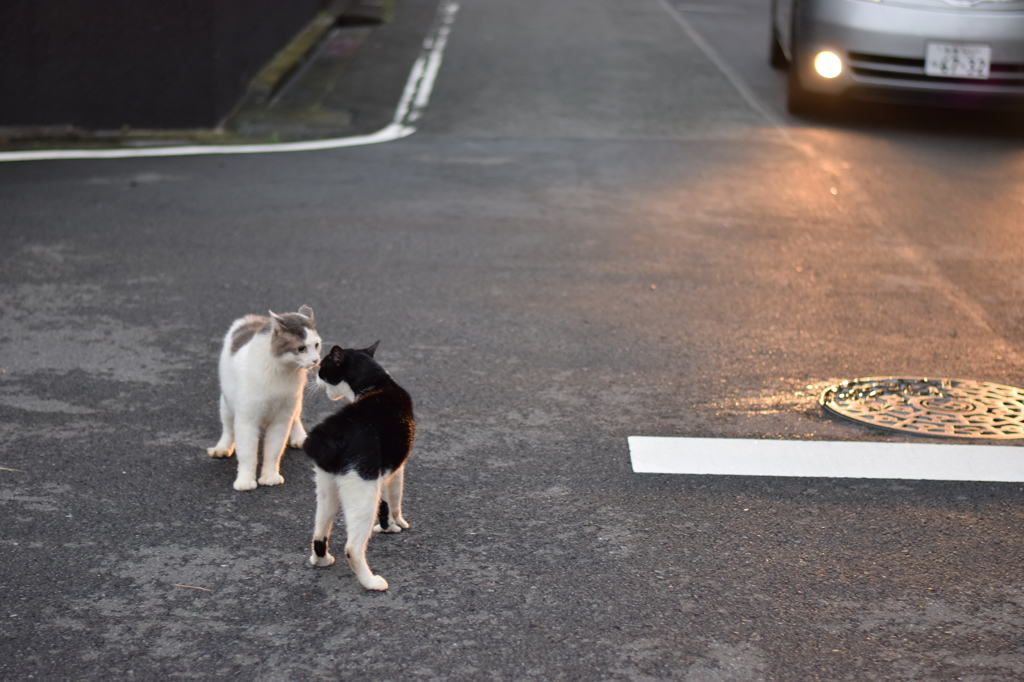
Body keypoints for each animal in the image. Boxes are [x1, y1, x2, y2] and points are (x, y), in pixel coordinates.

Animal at [206, 307, 319, 489]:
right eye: (301, 348)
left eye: (316, 345)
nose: (316, 360)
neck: (281, 371)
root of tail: (252, 318)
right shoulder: (247, 420)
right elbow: (247, 454)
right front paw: (245, 481)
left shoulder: (281, 419)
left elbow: (273, 451)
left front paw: (269, 476)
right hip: (227, 404)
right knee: (228, 429)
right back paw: (222, 448)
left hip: (295, 403)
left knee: (296, 417)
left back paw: (299, 437)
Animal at [303, 339, 415, 589]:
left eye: (322, 368)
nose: (315, 378)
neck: (376, 384)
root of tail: (332, 430)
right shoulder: (396, 469)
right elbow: (394, 500)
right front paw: (397, 524)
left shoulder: (382, 473)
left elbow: (385, 504)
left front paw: (386, 527)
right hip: (362, 489)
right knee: (353, 548)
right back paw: (372, 583)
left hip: (327, 488)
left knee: (319, 532)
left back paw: (321, 560)